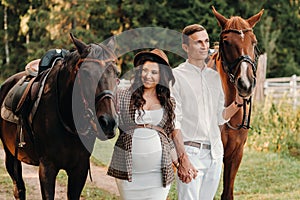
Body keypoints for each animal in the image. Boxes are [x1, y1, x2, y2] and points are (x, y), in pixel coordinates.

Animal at [0, 33, 119, 199]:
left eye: (116, 74)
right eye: (86, 73)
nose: (108, 122)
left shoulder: (80, 169)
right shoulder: (47, 168)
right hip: (10, 154)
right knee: (19, 188)